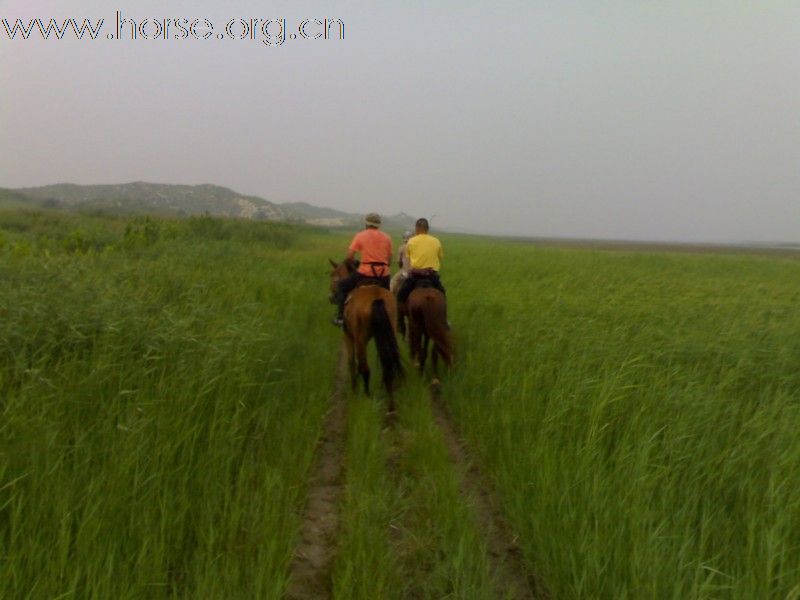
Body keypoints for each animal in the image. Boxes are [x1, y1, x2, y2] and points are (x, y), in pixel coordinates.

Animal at [326, 260, 404, 410]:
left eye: (333, 275)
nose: (331, 298)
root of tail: (376, 298)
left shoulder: (348, 336)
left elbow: (351, 361)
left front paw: (354, 388)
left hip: (360, 339)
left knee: (365, 367)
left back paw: (366, 394)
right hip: (391, 330)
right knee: (388, 361)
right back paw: (389, 395)